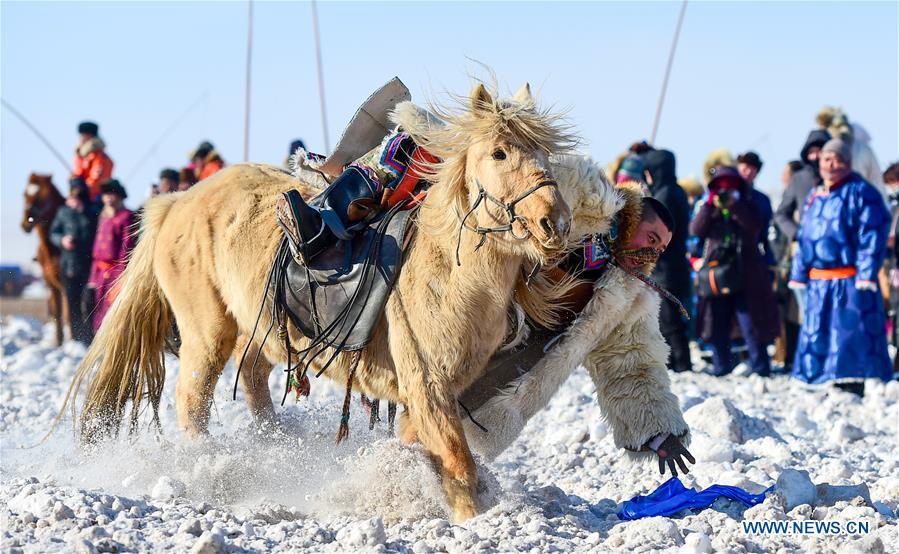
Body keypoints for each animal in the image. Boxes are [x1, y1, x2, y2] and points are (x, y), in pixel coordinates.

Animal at [21, 172, 67, 344]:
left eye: (44, 196)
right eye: (25, 194)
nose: (26, 223)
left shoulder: (66, 284)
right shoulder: (51, 284)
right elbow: (57, 314)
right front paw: (59, 343)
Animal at [67, 83, 580, 520]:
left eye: (545, 154)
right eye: (499, 151)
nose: (554, 223)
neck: (446, 270)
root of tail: (178, 201)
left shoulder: (430, 394)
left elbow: (426, 449)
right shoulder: (428, 385)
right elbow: (457, 460)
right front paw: (472, 520)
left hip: (263, 330)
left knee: (252, 377)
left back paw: (271, 448)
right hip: (206, 330)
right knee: (192, 399)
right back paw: (210, 469)